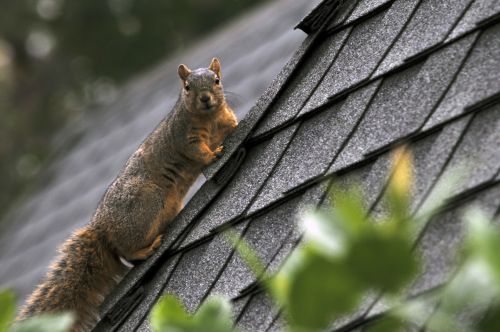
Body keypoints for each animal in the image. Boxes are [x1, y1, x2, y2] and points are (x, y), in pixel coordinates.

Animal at [16, 58, 239, 330]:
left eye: (216, 80)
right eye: (187, 87)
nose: (205, 98)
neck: (210, 117)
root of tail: (102, 227)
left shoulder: (225, 122)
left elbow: (232, 127)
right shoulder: (185, 138)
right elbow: (198, 152)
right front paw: (213, 154)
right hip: (145, 208)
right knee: (127, 251)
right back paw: (144, 250)